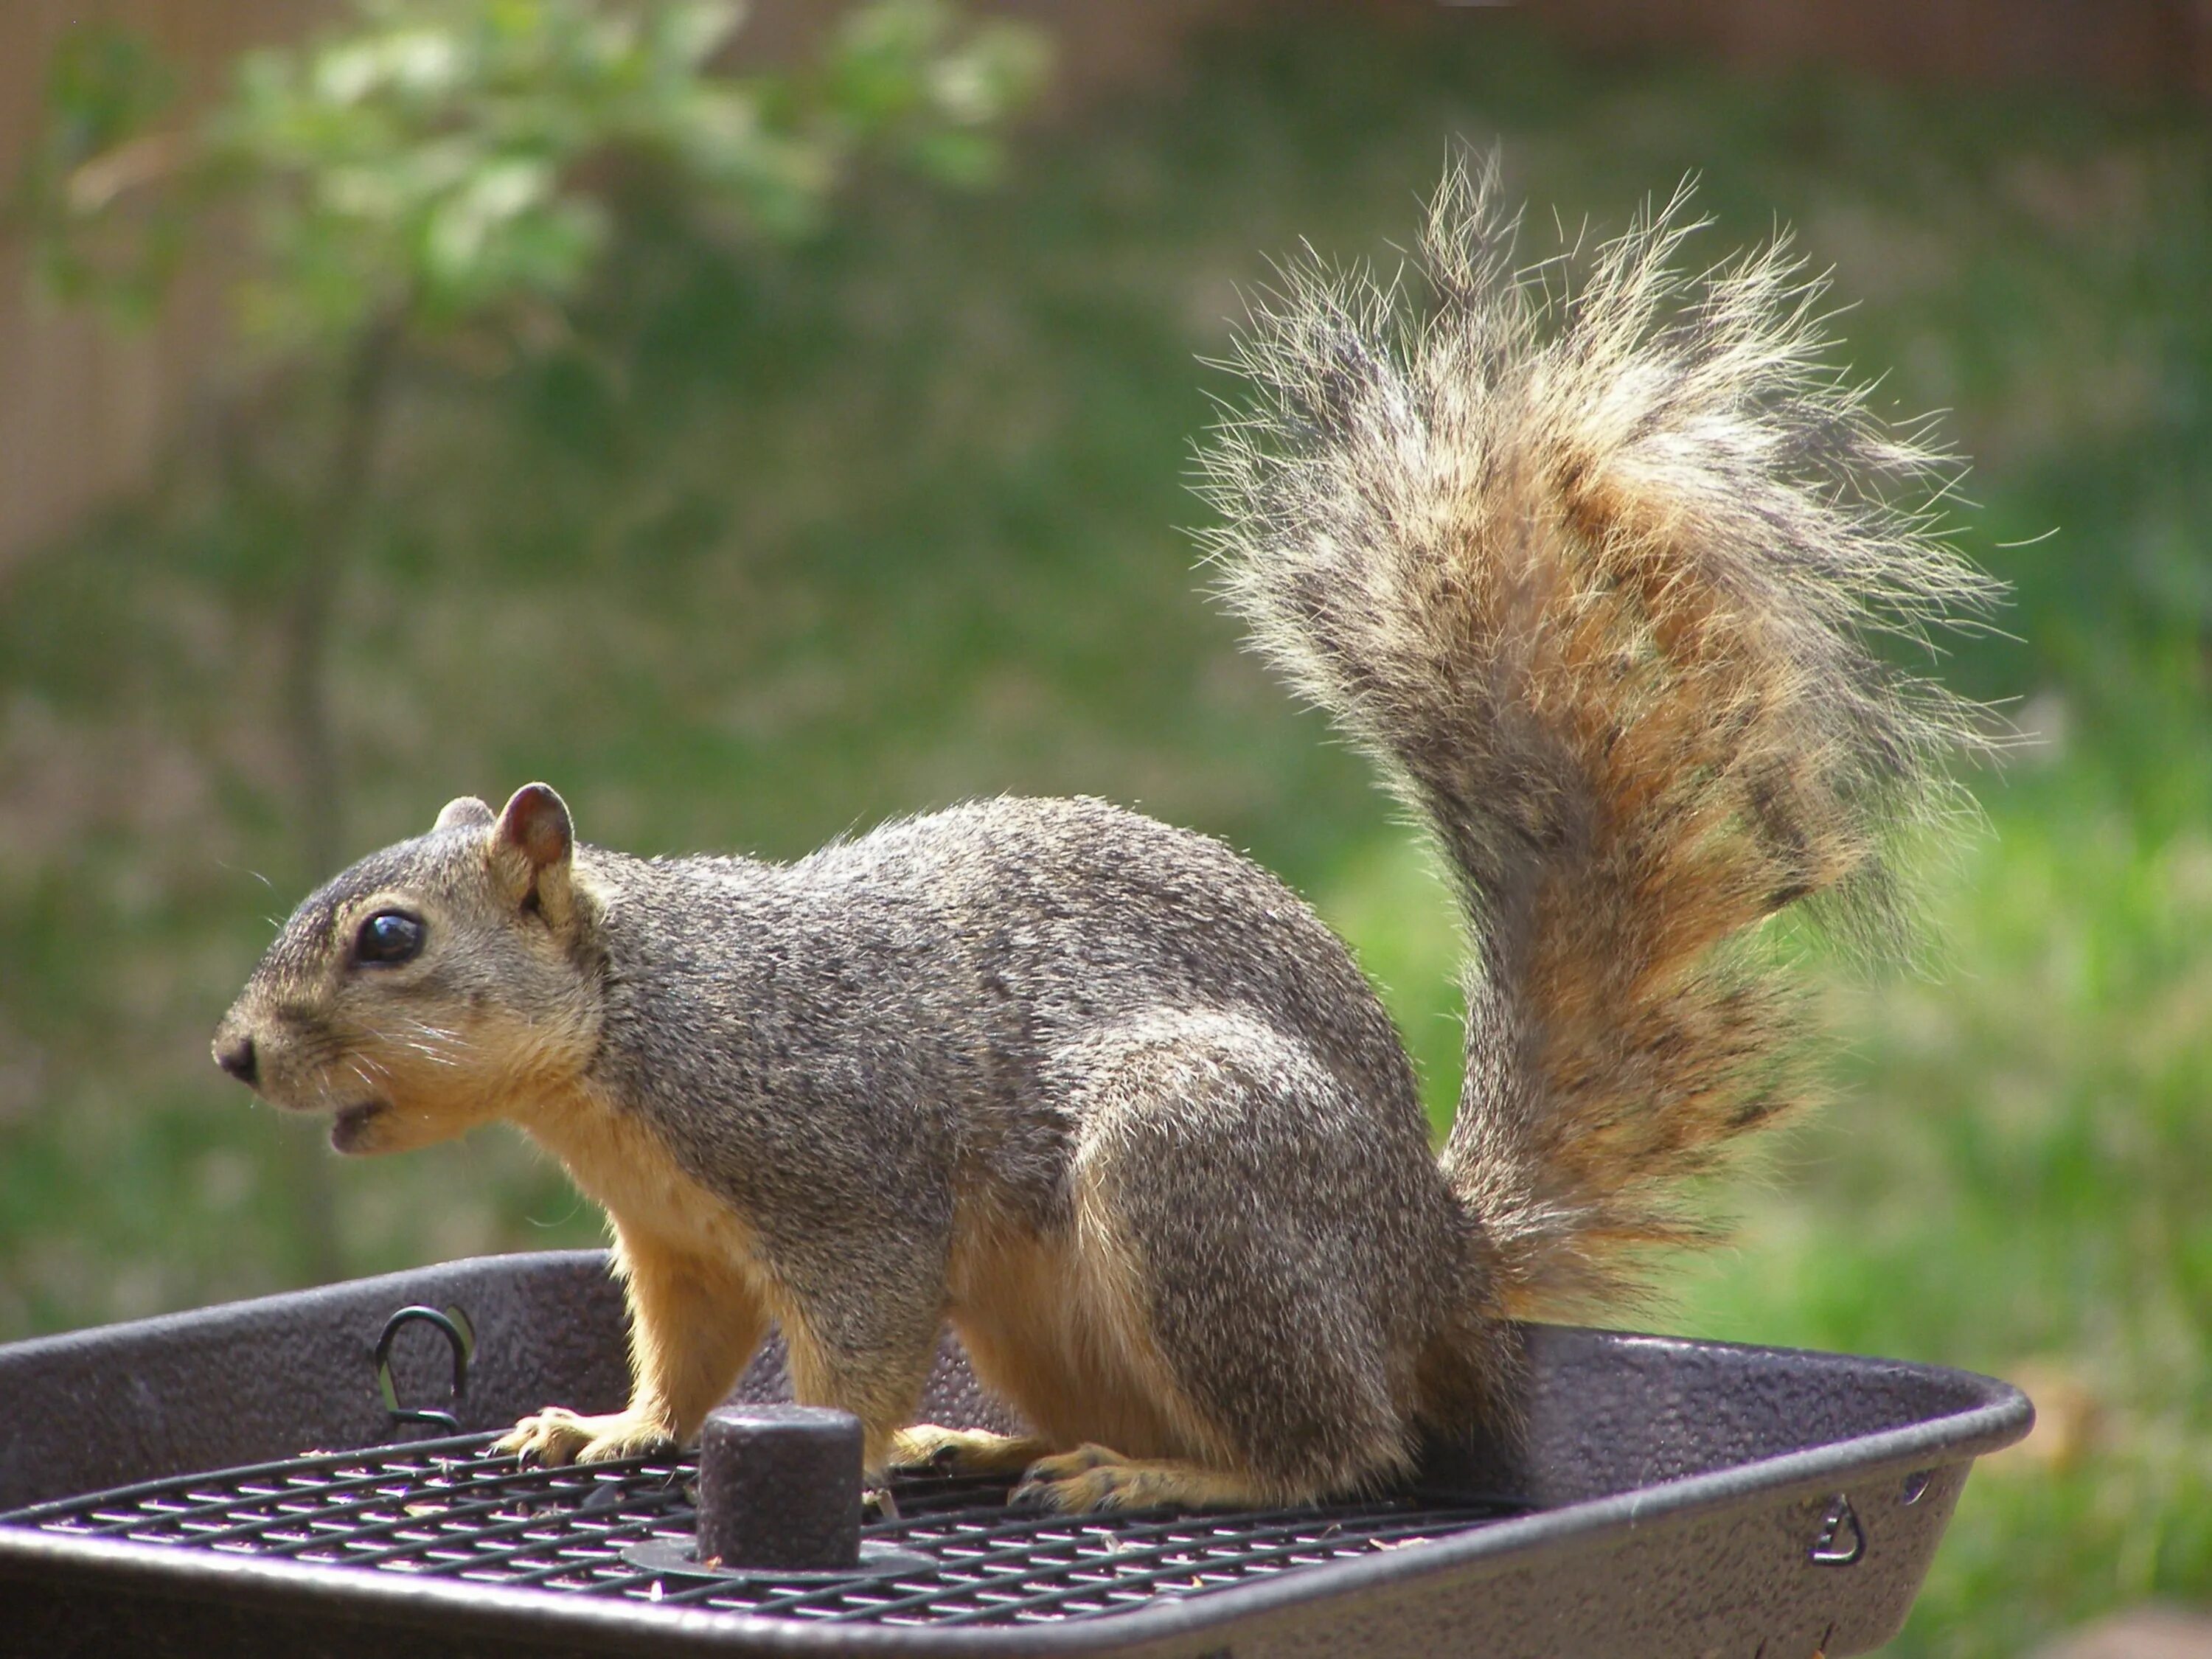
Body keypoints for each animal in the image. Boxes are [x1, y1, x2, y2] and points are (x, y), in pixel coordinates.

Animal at [215, 169, 2000, 1522]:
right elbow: (688, 1360)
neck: (628, 1030)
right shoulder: (678, 1244)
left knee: (1340, 1449)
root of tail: (1436, 1261)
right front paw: (617, 1430)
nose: (235, 1055)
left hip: (1192, 1169)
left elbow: (846, 1356)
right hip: (1045, 1305)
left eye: (392, 938)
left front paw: (852, 1457)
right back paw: (1006, 1441)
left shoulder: (842, 1180)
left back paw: (1170, 1477)